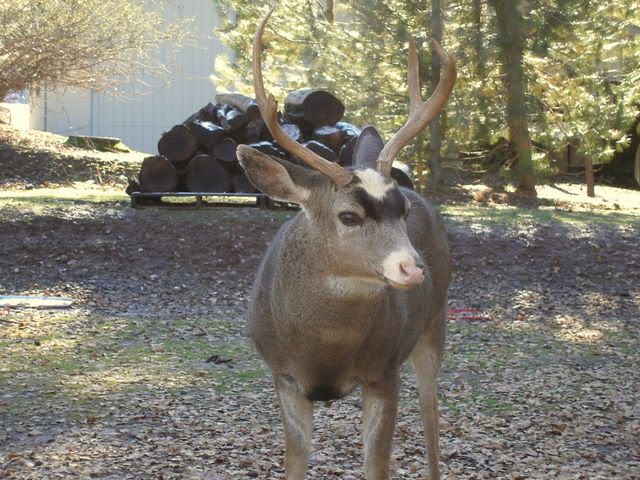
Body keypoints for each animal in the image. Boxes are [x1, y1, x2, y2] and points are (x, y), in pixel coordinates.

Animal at [238, 7, 458, 480]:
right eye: (349, 216)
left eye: (402, 211)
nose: (413, 268)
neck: (324, 348)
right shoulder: (283, 377)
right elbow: (294, 463)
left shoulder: (384, 372)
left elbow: (377, 464)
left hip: (435, 322)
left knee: (431, 413)